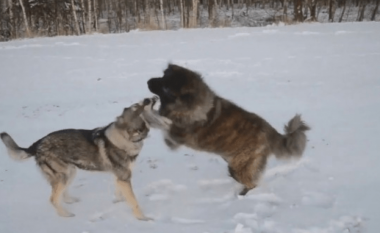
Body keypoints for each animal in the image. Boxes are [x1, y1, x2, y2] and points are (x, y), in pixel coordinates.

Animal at [145, 63, 308, 195]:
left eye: (166, 87)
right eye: (163, 76)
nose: (148, 81)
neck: (191, 105)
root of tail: (270, 131)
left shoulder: (175, 136)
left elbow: (161, 120)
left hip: (239, 167)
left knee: (251, 183)